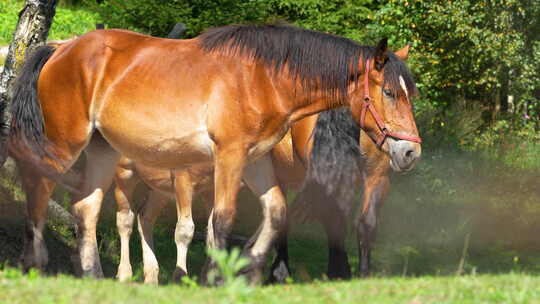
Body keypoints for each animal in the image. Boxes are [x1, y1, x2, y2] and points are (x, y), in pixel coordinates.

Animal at [9, 24, 422, 284]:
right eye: (388, 92)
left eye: (410, 94)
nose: (409, 152)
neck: (262, 78)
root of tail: (61, 48)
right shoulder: (229, 156)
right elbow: (221, 221)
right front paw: (216, 276)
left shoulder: (254, 161)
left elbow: (275, 214)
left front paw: (248, 267)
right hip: (64, 144)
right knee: (38, 191)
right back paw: (35, 265)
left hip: (102, 151)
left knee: (87, 209)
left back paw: (93, 275)